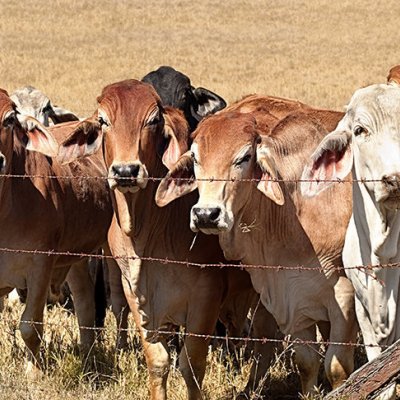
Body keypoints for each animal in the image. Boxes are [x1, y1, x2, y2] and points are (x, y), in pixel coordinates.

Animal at [0, 89, 112, 374]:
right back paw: (87, 354)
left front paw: (33, 373)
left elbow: (30, 327)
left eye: (8, 119)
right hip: (75, 257)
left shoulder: (40, 265)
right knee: (85, 300)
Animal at [56, 80, 282, 400]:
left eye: (152, 120)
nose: (126, 171)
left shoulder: (205, 297)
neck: (146, 235)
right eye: (103, 120)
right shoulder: (136, 294)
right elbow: (158, 362)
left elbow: (192, 366)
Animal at [155, 99, 358, 394]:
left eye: (244, 158)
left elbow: (338, 368)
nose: (206, 214)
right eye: (195, 158)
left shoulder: (345, 295)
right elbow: (307, 363)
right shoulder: (294, 296)